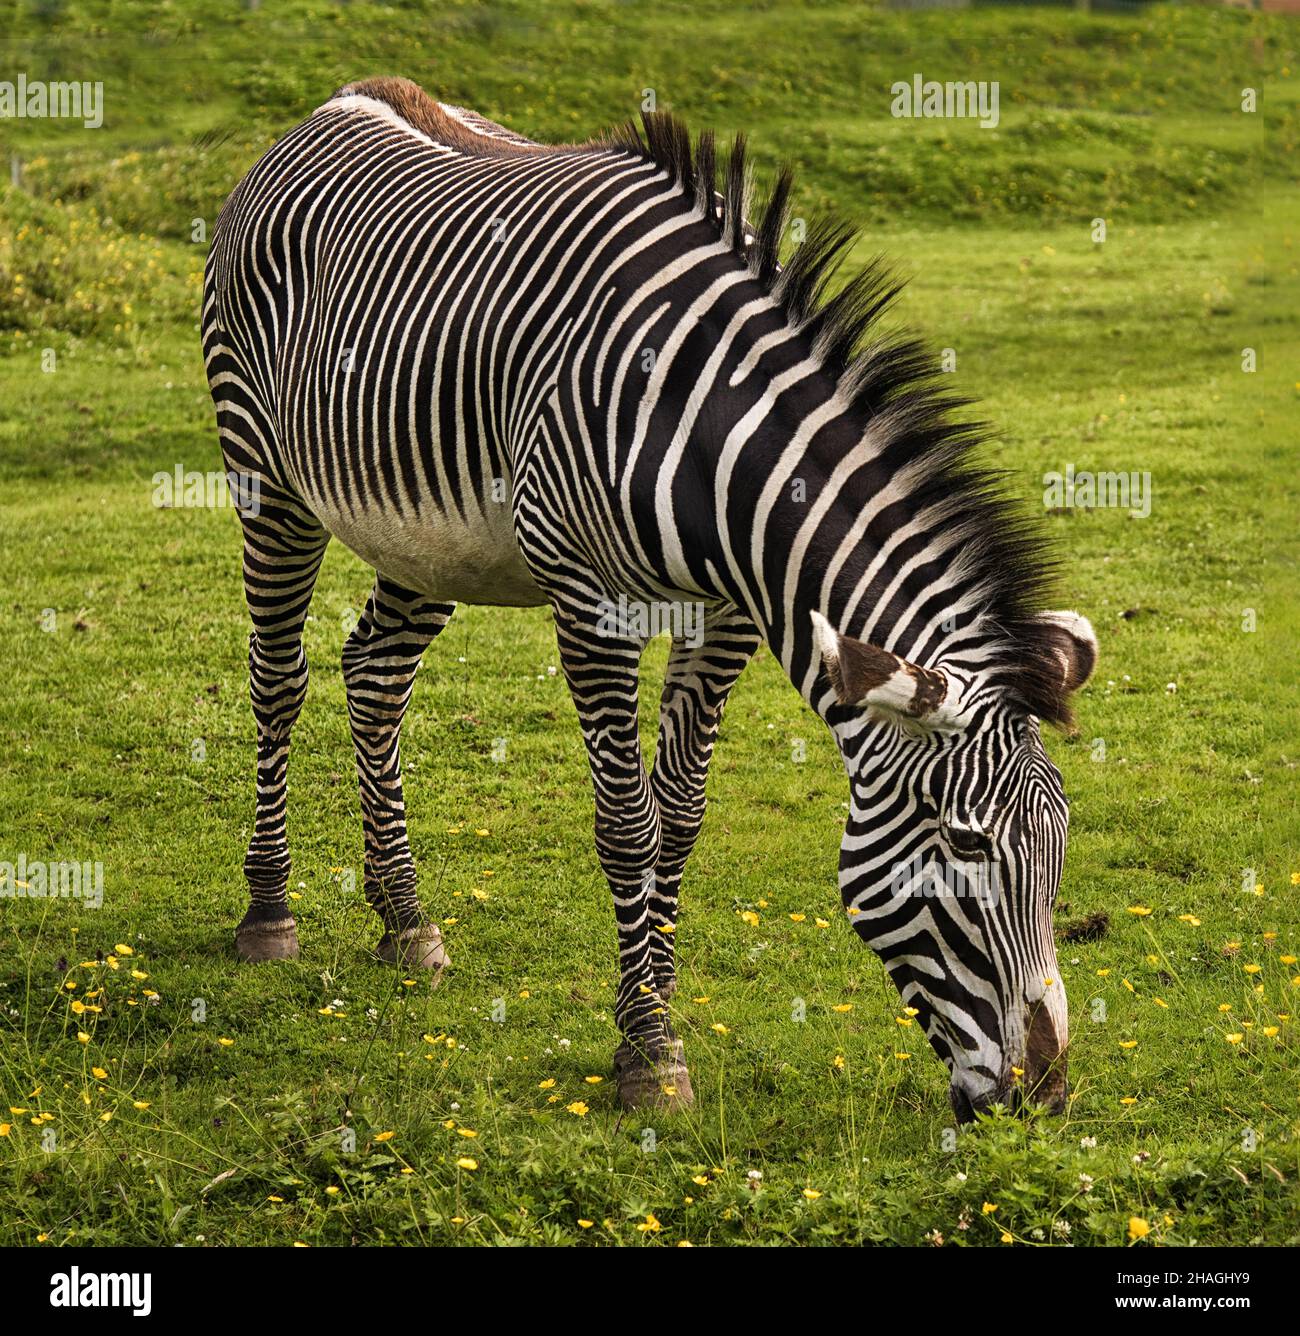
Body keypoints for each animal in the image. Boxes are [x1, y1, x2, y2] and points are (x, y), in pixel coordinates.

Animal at [203, 75, 1095, 1116]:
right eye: (964, 843)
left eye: (1062, 842)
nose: (1044, 1095)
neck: (713, 444)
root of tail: (345, 98)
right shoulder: (591, 602)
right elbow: (628, 826)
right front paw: (649, 1053)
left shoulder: (731, 621)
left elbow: (680, 816)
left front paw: (655, 1006)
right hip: (264, 474)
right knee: (279, 678)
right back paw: (269, 910)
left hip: (429, 537)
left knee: (374, 675)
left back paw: (406, 918)